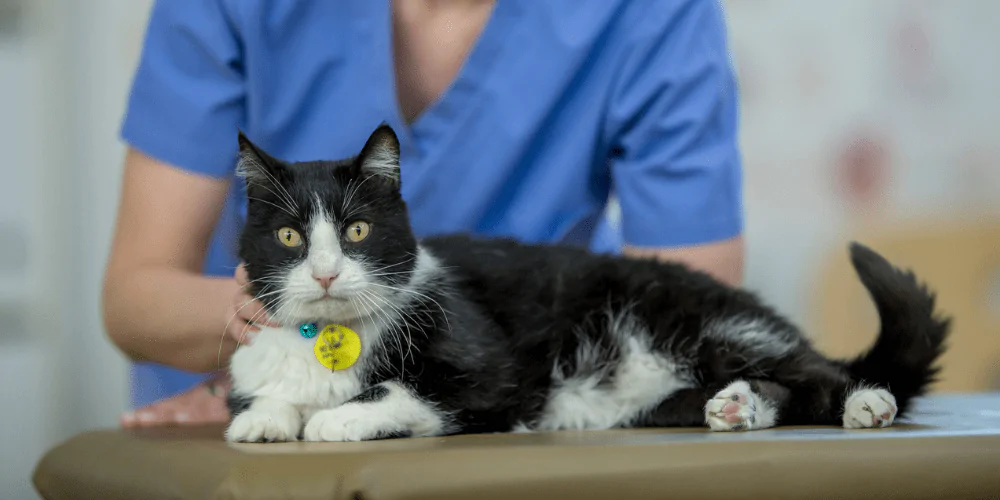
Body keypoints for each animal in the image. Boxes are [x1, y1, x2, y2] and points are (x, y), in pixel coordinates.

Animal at [223, 124, 948, 442]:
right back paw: (736, 407)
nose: (324, 272)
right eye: (289, 238)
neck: (331, 336)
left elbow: (404, 390)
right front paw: (263, 419)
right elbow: (269, 394)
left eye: (357, 231)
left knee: (814, 370)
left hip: (697, 323)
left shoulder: (493, 374)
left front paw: (336, 418)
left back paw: (865, 402)